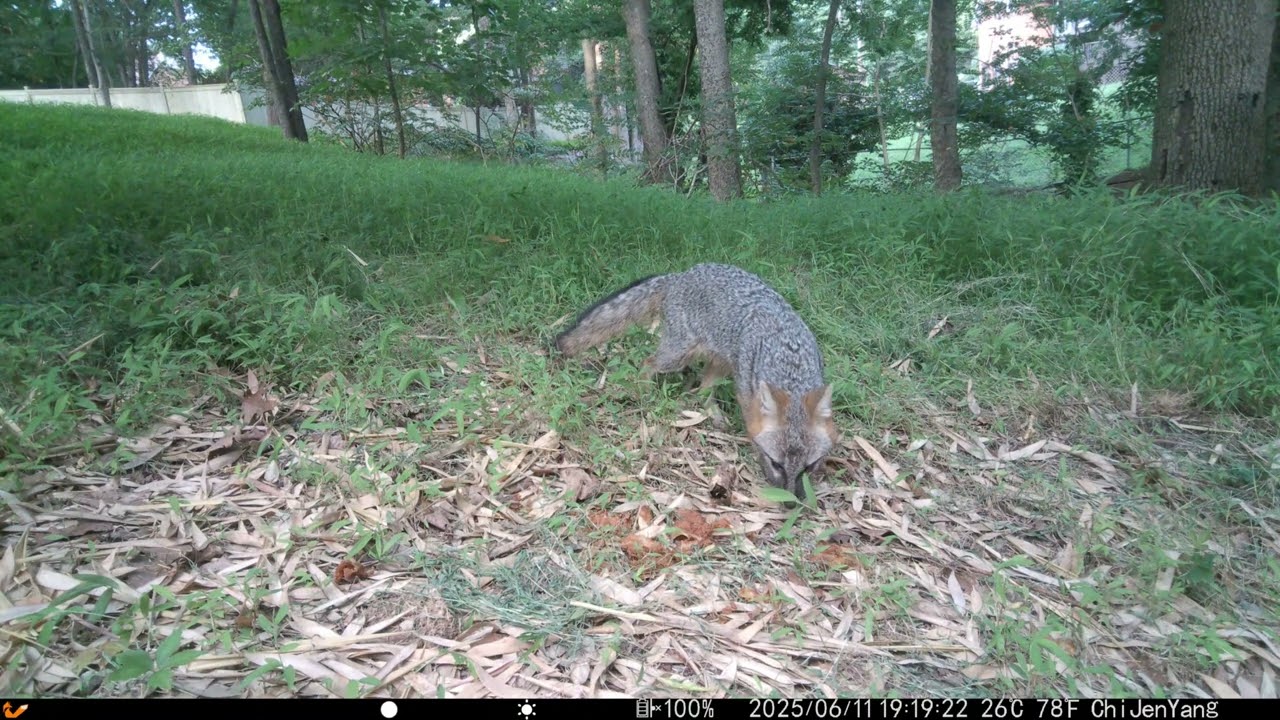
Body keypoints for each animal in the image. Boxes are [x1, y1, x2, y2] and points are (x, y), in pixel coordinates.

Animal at [553, 263, 838, 499]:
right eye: (776, 463)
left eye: (809, 466)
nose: (790, 502)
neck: (791, 366)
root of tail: (680, 274)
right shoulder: (747, 391)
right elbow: (753, 427)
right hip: (678, 355)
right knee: (648, 364)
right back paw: (645, 393)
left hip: (720, 360)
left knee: (703, 388)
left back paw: (713, 415)